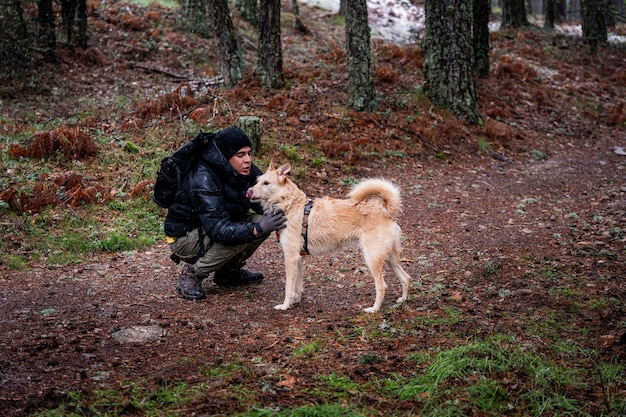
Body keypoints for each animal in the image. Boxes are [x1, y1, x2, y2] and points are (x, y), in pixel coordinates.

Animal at [246, 161, 412, 310]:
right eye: (257, 181)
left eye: (266, 183)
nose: (248, 192)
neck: (290, 204)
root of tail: (386, 211)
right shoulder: (299, 258)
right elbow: (297, 286)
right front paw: (296, 301)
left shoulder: (291, 258)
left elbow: (288, 288)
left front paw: (285, 306)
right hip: (389, 258)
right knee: (406, 278)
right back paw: (402, 300)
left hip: (372, 258)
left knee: (382, 286)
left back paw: (374, 309)